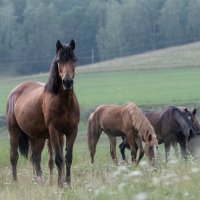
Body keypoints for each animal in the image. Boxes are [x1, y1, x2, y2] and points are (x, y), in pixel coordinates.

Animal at [6, 39, 79, 188]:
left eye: (74, 59)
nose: (67, 82)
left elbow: (68, 158)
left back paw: (39, 181)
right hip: (14, 132)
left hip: (36, 137)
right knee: (14, 157)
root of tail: (14, 92)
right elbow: (58, 158)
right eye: (59, 60)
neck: (64, 103)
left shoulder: (72, 131)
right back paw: (15, 182)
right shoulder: (54, 131)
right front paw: (60, 185)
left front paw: (67, 183)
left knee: (35, 158)